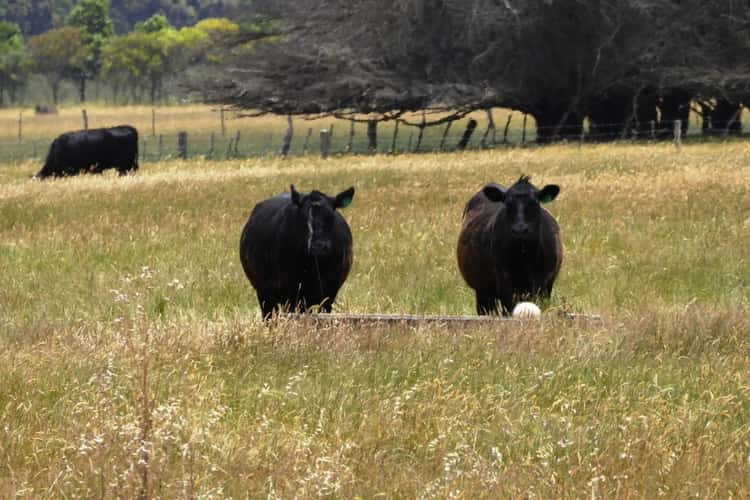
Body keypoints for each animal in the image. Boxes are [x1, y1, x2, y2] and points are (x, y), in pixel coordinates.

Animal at [242, 186, 356, 318]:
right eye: (303, 217)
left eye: (331, 216)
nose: (318, 246)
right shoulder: (290, 291)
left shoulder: (329, 292)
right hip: (265, 294)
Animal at [458, 176, 564, 314]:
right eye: (508, 204)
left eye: (534, 204)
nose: (520, 229)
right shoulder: (505, 283)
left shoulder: (544, 285)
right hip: (483, 292)